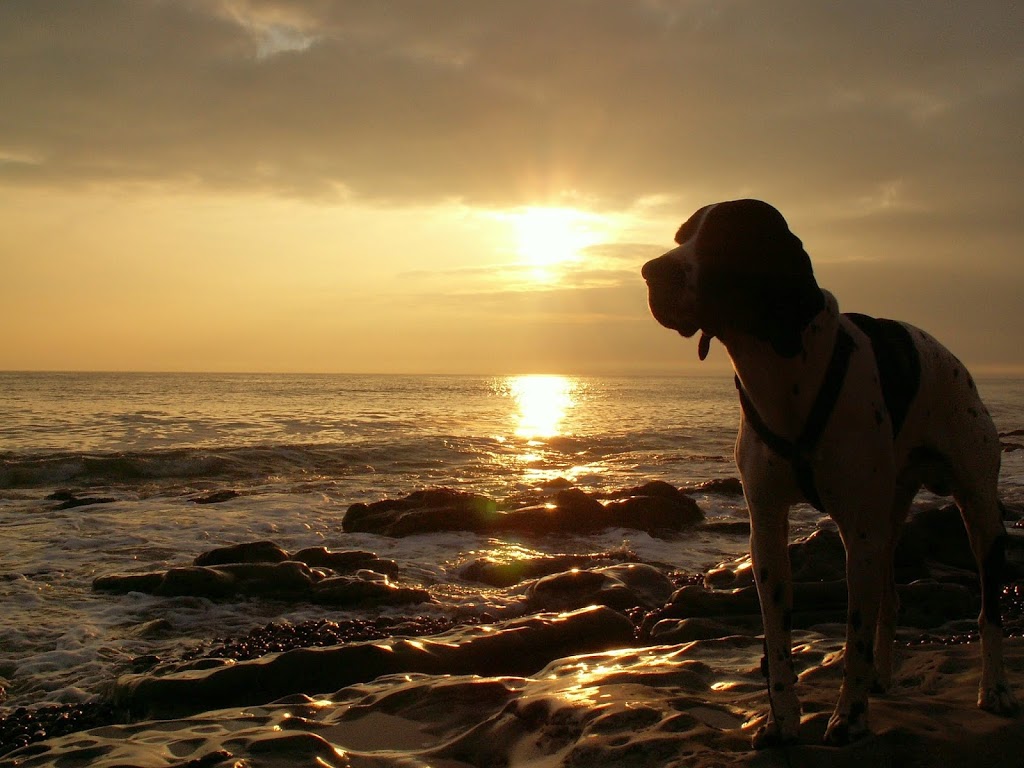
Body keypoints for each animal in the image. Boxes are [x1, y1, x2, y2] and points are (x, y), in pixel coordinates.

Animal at [638, 198, 1015, 745]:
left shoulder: (857, 530)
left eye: (724, 238)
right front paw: (781, 719)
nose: (651, 271)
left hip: (977, 504)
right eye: (681, 237)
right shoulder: (767, 527)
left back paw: (995, 688)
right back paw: (882, 676)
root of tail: (950, 358)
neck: (783, 372)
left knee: (988, 610)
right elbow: (777, 636)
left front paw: (850, 716)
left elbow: (855, 630)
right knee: (891, 599)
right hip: (888, 515)